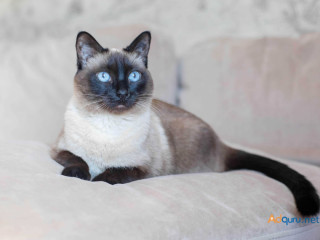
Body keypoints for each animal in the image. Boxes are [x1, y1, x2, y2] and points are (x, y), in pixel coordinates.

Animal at [51, 30, 318, 216]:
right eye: (104, 76)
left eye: (133, 76)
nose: (123, 93)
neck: (108, 126)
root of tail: (220, 142)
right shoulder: (58, 150)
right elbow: (77, 159)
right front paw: (77, 174)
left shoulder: (146, 168)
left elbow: (116, 172)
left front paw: (98, 179)